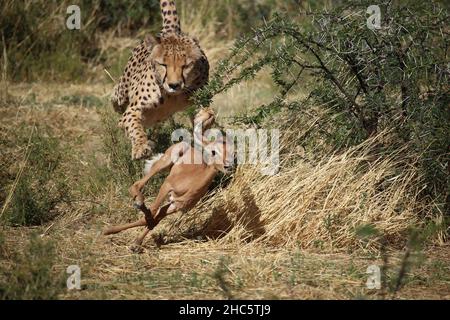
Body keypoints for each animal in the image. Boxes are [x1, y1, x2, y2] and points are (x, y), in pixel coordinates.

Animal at [112, 0, 211, 160]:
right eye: (163, 65)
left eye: (186, 65)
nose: (174, 85)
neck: (172, 96)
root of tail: (170, 32)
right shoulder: (132, 110)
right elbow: (134, 126)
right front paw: (141, 146)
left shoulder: (198, 99)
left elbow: (207, 113)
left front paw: (205, 119)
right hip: (123, 92)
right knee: (117, 95)